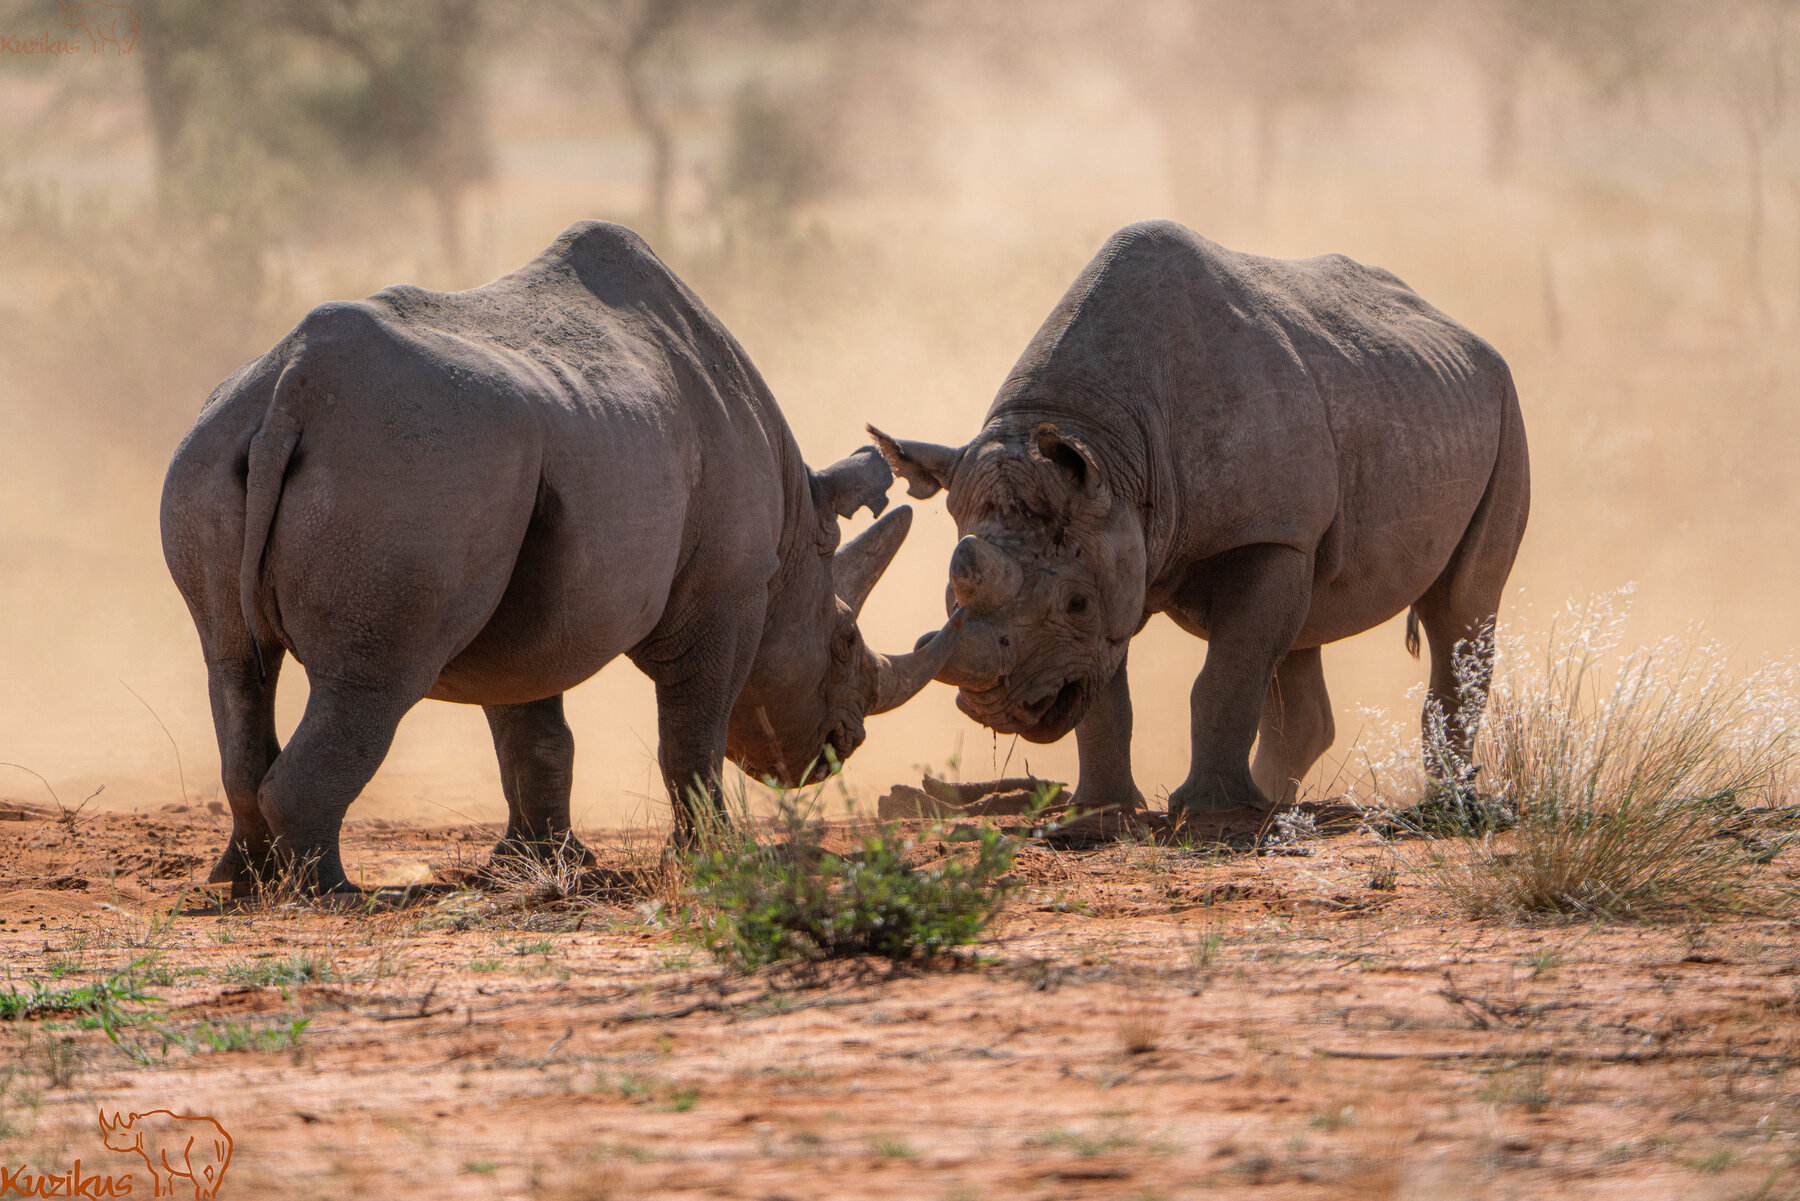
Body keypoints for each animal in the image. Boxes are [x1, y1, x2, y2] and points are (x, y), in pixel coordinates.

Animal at [162, 221, 960, 896]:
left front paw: (543, 864)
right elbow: (692, 734)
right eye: (845, 640)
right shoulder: (727, 593)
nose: (842, 744)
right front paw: (712, 859)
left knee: (231, 662)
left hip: (223, 442)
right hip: (412, 468)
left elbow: (534, 732)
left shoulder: (525, 606)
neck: (796, 543)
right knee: (372, 681)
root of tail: (296, 385)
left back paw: (241, 882)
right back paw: (332, 892)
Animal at [872, 220, 1528, 819]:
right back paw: (1278, 806)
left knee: (1460, 607)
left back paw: (1444, 807)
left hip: (1505, 407)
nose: (997, 711)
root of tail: (1463, 332)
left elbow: (1223, 678)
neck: (1110, 444)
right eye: (950, 595)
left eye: (1076, 605)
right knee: (1302, 629)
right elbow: (1108, 697)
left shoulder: (1264, 532)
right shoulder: (1116, 539)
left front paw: (1209, 814)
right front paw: (1100, 815)